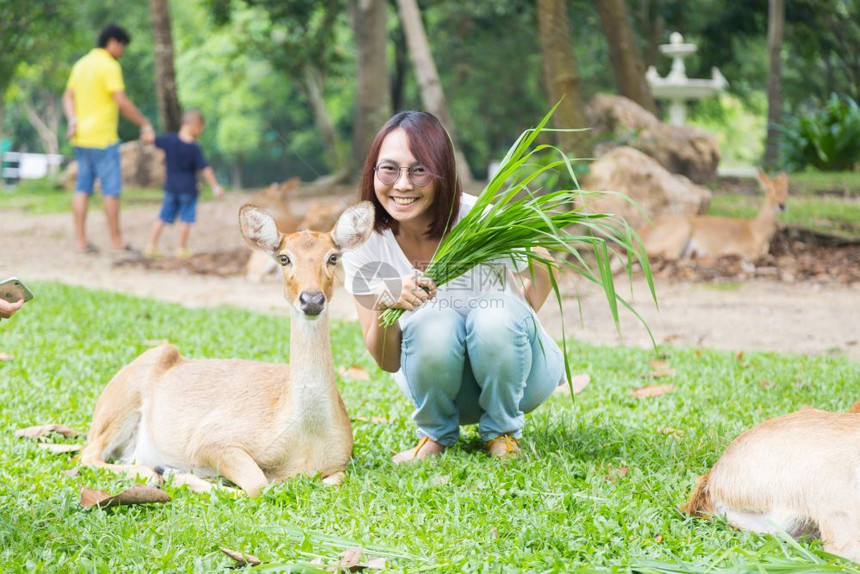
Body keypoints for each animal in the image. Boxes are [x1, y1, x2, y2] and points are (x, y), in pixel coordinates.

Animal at [80, 201, 376, 496]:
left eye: (333, 257)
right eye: (284, 258)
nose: (312, 299)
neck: (304, 439)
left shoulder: (341, 461)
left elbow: (330, 482)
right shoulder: (209, 438)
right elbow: (258, 485)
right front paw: (176, 473)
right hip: (119, 403)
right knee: (87, 454)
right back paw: (154, 473)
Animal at [640, 170, 788, 262]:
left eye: (786, 189)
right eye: (769, 189)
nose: (782, 205)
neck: (756, 230)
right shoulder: (741, 249)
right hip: (682, 228)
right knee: (671, 255)